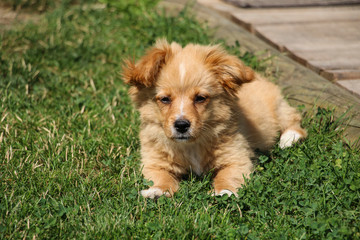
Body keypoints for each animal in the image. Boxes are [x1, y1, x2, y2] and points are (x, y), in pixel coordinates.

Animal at [121, 39, 306, 199]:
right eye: (165, 99)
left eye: (200, 98)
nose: (181, 125)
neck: (192, 145)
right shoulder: (154, 162)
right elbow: (161, 177)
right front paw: (157, 191)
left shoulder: (236, 157)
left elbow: (227, 175)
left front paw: (224, 191)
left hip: (278, 108)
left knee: (294, 120)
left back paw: (289, 138)